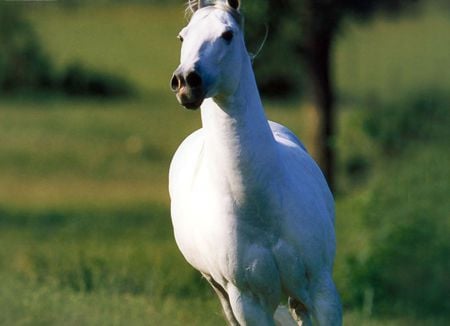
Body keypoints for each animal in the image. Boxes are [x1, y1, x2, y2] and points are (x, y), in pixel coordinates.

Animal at [169, 1, 342, 324]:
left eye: (227, 35)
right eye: (182, 36)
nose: (186, 82)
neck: (261, 210)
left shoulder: (323, 289)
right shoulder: (247, 302)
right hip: (221, 290)